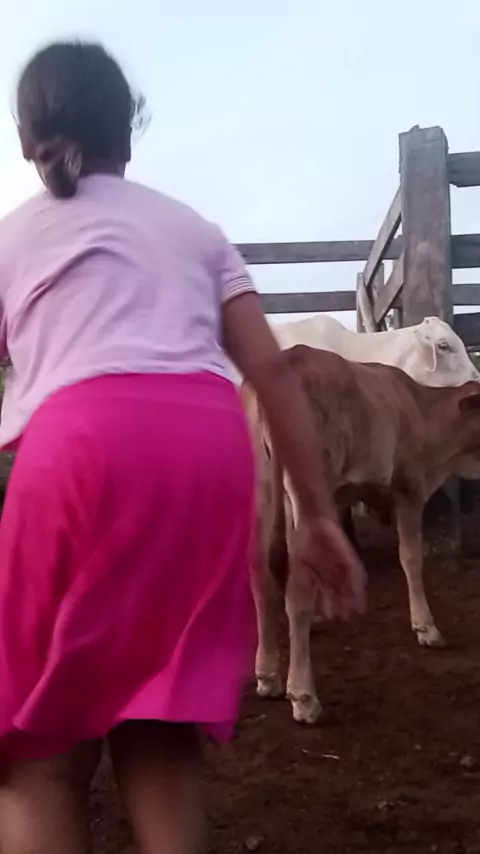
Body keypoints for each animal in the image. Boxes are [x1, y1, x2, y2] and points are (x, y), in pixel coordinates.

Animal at [243, 346, 480, 725]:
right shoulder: (408, 489)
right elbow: (411, 557)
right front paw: (426, 627)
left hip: (263, 492)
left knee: (261, 577)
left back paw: (267, 676)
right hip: (304, 493)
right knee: (295, 588)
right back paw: (303, 696)